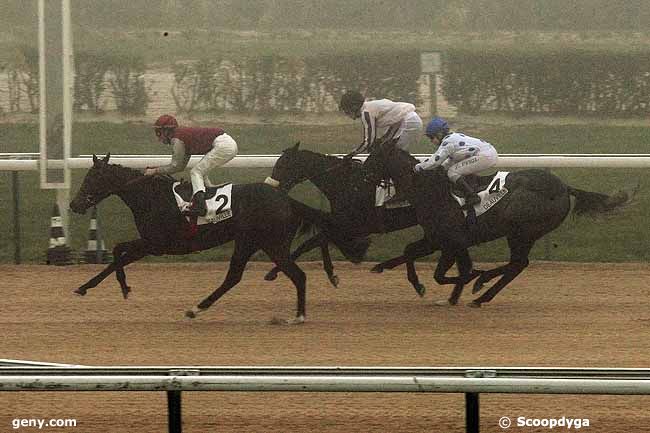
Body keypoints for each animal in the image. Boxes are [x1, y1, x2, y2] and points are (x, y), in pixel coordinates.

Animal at [69, 154, 370, 322]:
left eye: (91, 179)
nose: (74, 204)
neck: (152, 198)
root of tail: (288, 200)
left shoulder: (157, 244)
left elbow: (119, 255)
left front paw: (109, 287)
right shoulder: (152, 244)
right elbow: (117, 252)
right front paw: (97, 286)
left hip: (270, 244)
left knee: (297, 275)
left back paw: (298, 316)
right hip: (249, 241)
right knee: (234, 276)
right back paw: (197, 308)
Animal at [260, 143, 474, 296]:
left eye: (283, 165)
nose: (270, 186)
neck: (345, 183)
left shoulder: (353, 225)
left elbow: (316, 240)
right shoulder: (345, 224)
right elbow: (319, 239)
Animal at [372, 139, 624, 308]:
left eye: (373, 156)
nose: (364, 173)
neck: (430, 190)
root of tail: (564, 188)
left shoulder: (450, 241)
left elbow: (447, 273)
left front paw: (466, 281)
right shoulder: (436, 239)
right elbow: (411, 252)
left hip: (522, 231)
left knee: (518, 264)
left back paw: (481, 289)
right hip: (523, 233)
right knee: (516, 265)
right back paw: (481, 292)